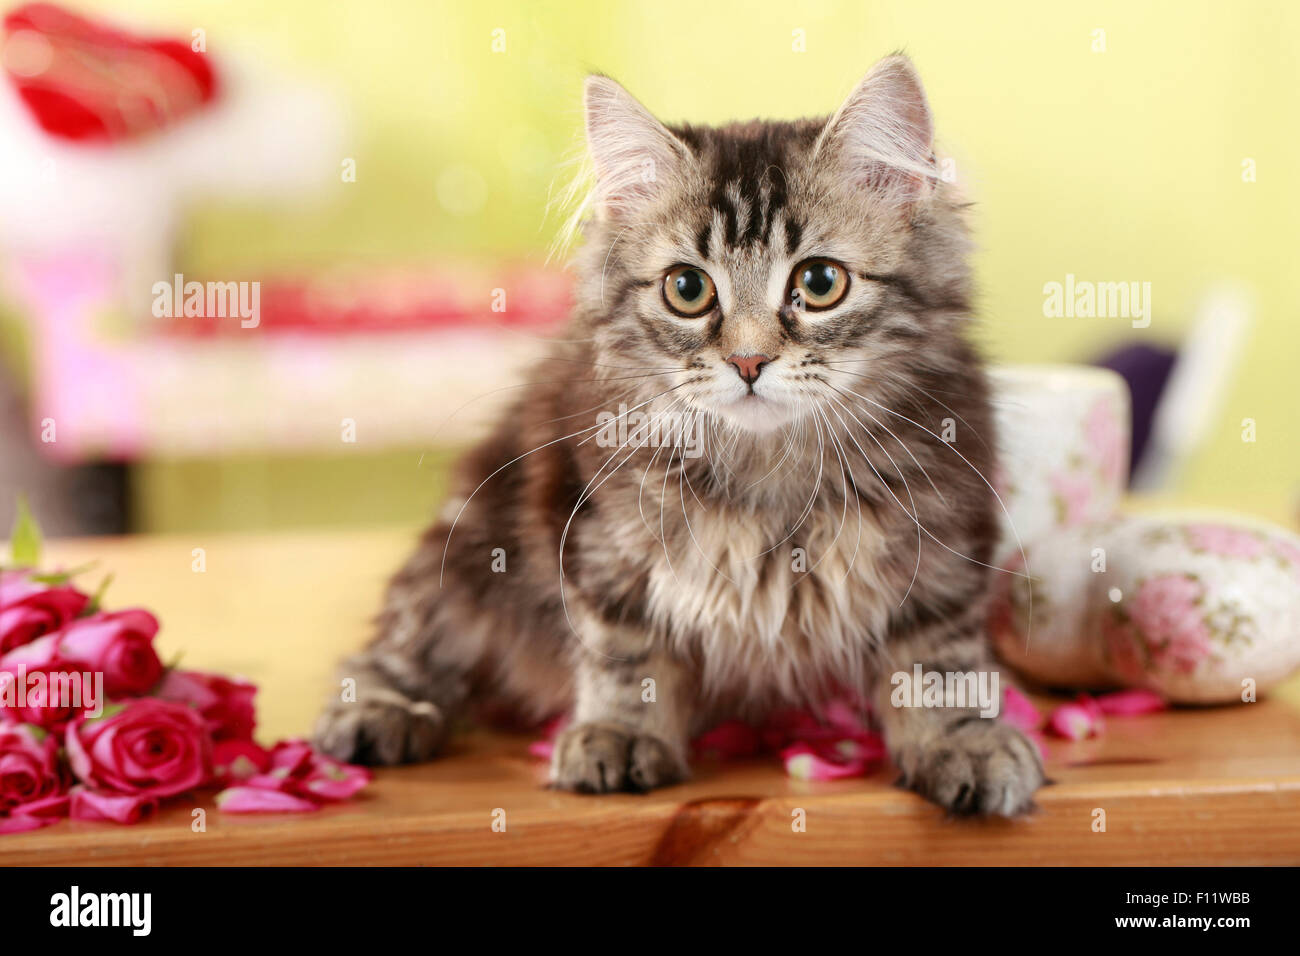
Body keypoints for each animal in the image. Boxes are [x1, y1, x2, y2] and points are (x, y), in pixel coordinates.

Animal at [314, 54, 1045, 816]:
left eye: (820, 282)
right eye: (688, 290)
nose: (748, 361)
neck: (771, 473)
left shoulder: (943, 546)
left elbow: (937, 663)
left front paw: (963, 740)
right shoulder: (597, 539)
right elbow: (627, 654)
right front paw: (620, 734)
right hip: (469, 552)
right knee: (405, 641)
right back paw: (382, 713)